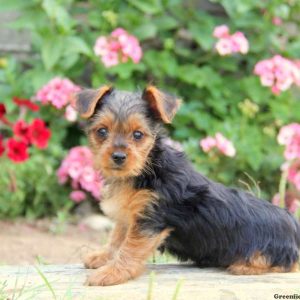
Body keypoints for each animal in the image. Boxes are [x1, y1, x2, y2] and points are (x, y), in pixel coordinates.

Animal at [75, 85, 300, 286]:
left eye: (138, 135)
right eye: (102, 131)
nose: (118, 156)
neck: (148, 168)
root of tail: (293, 224)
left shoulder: (149, 220)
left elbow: (130, 248)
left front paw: (111, 273)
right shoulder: (129, 216)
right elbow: (117, 238)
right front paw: (103, 257)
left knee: (289, 264)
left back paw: (244, 266)